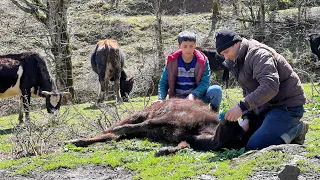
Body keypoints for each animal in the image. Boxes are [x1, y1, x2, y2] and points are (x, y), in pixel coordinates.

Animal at [69, 98, 246, 156]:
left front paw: (164, 150)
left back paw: (78, 141)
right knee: (110, 131)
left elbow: (183, 146)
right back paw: (77, 140)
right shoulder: (170, 118)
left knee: (112, 136)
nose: (228, 118)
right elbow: (147, 123)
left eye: (238, 136)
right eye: (237, 131)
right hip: (138, 114)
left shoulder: (183, 136)